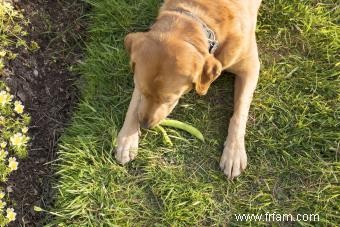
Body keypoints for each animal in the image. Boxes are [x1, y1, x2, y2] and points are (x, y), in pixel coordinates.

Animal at [115, 0, 262, 179]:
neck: (199, 17)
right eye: (142, 91)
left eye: (169, 99)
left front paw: (234, 152)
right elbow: (134, 104)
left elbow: (240, 112)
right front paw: (127, 138)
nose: (144, 125)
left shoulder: (250, 66)